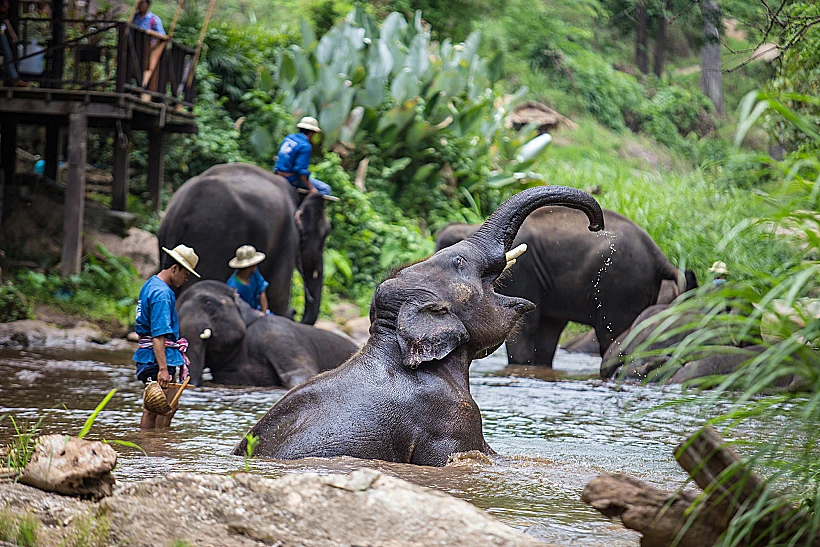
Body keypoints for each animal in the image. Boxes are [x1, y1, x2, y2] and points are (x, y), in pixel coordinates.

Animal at [158, 163, 329, 324]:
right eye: (324, 235)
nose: (294, 312)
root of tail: (181, 210)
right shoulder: (287, 239)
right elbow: (277, 294)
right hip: (210, 240)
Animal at [435, 209, 698, 366]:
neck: (472, 227)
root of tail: (659, 256)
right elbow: (546, 333)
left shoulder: (524, 271)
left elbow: (525, 328)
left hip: (623, 286)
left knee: (612, 336)